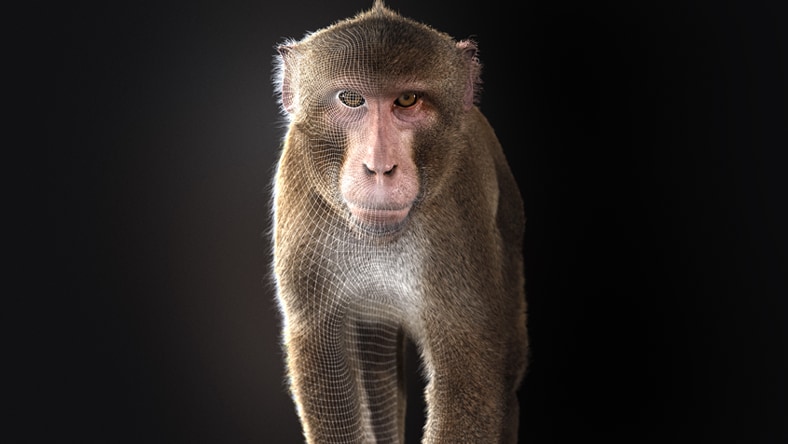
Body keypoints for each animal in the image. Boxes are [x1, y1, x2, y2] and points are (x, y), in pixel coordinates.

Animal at [271, 1, 527, 442]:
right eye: (351, 98)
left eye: (407, 100)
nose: (380, 167)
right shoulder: (300, 190)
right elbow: (322, 347)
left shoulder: (459, 217)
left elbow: (470, 376)